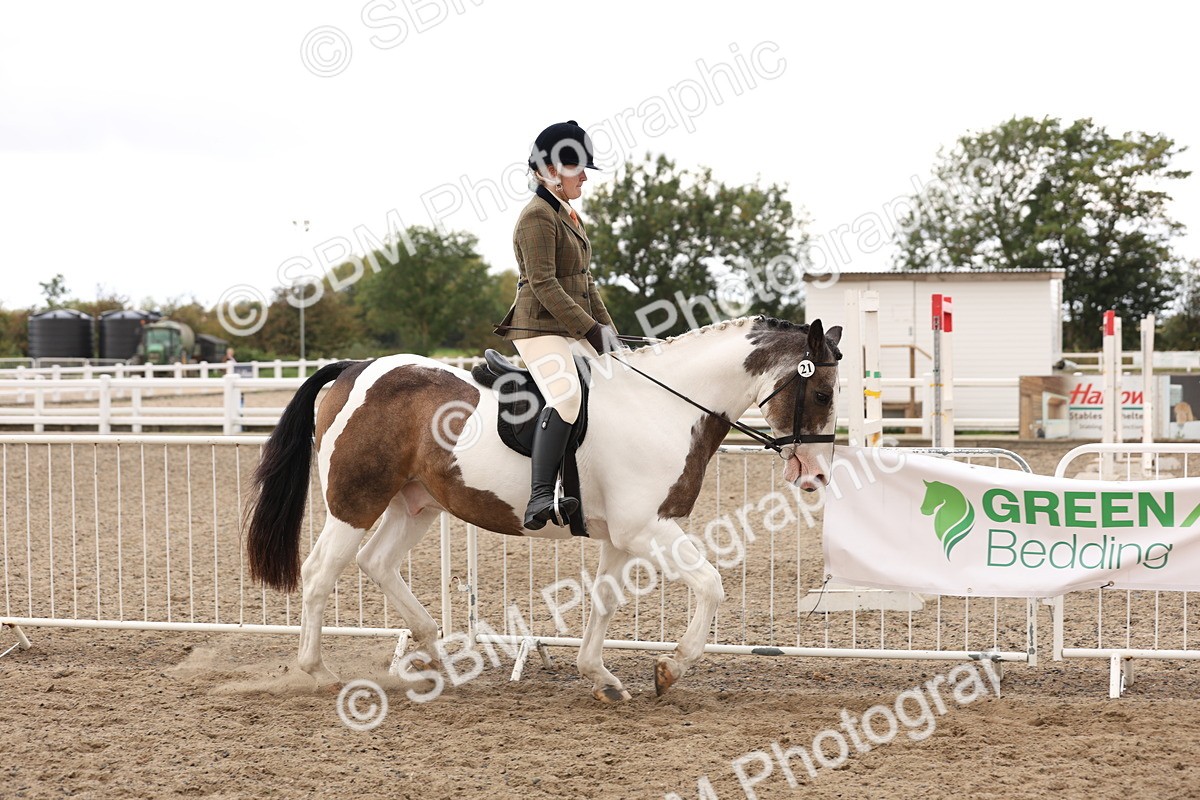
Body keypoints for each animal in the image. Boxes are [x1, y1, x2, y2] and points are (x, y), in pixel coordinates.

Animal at [245, 316, 843, 702]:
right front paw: (669, 669)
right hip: (356, 502)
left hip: (415, 504)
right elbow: (711, 585)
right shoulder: (648, 528)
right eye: (822, 394)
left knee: (377, 563)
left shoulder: (621, 536)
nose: (816, 475)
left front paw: (599, 676)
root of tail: (356, 369)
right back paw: (318, 671)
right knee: (321, 572)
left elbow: (604, 600)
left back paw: (437, 659)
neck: (663, 405)